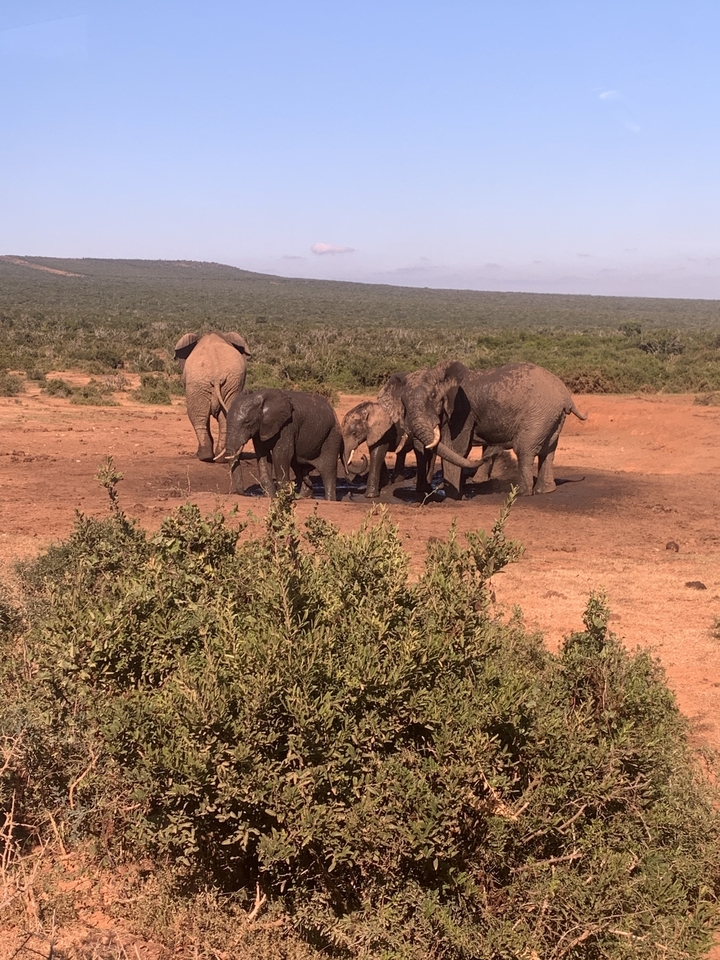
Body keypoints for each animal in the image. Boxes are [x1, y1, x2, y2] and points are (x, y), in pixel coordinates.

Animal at [174, 331, 251, 462]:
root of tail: (216, 376)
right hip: (220, 384)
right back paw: (220, 457)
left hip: (205, 383)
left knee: (197, 416)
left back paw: (205, 457)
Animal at [403, 361, 588, 498]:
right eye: (404, 403)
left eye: (432, 397)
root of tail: (566, 396)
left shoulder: (462, 410)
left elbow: (455, 448)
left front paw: (452, 495)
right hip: (551, 417)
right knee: (548, 451)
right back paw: (545, 490)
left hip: (538, 414)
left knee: (525, 450)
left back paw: (520, 493)